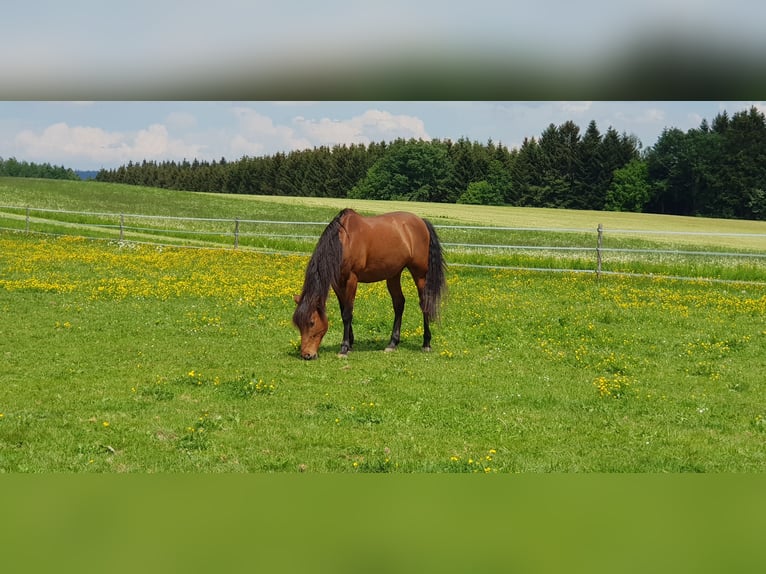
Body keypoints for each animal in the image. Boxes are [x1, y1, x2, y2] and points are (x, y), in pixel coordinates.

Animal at [294, 207, 450, 360]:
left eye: (312, 322)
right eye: (298, 324)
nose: (307, 355)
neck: (343, 242)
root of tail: (421, 222)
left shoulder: (351, 279)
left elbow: (347, 313)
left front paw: (344, 348)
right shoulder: (337, 283)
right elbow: (343, 310)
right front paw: (350, 343)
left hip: (420, 274)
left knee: (424, 304)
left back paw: (426, 343)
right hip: (393, 274)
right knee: (399, 304)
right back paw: (392, 343)